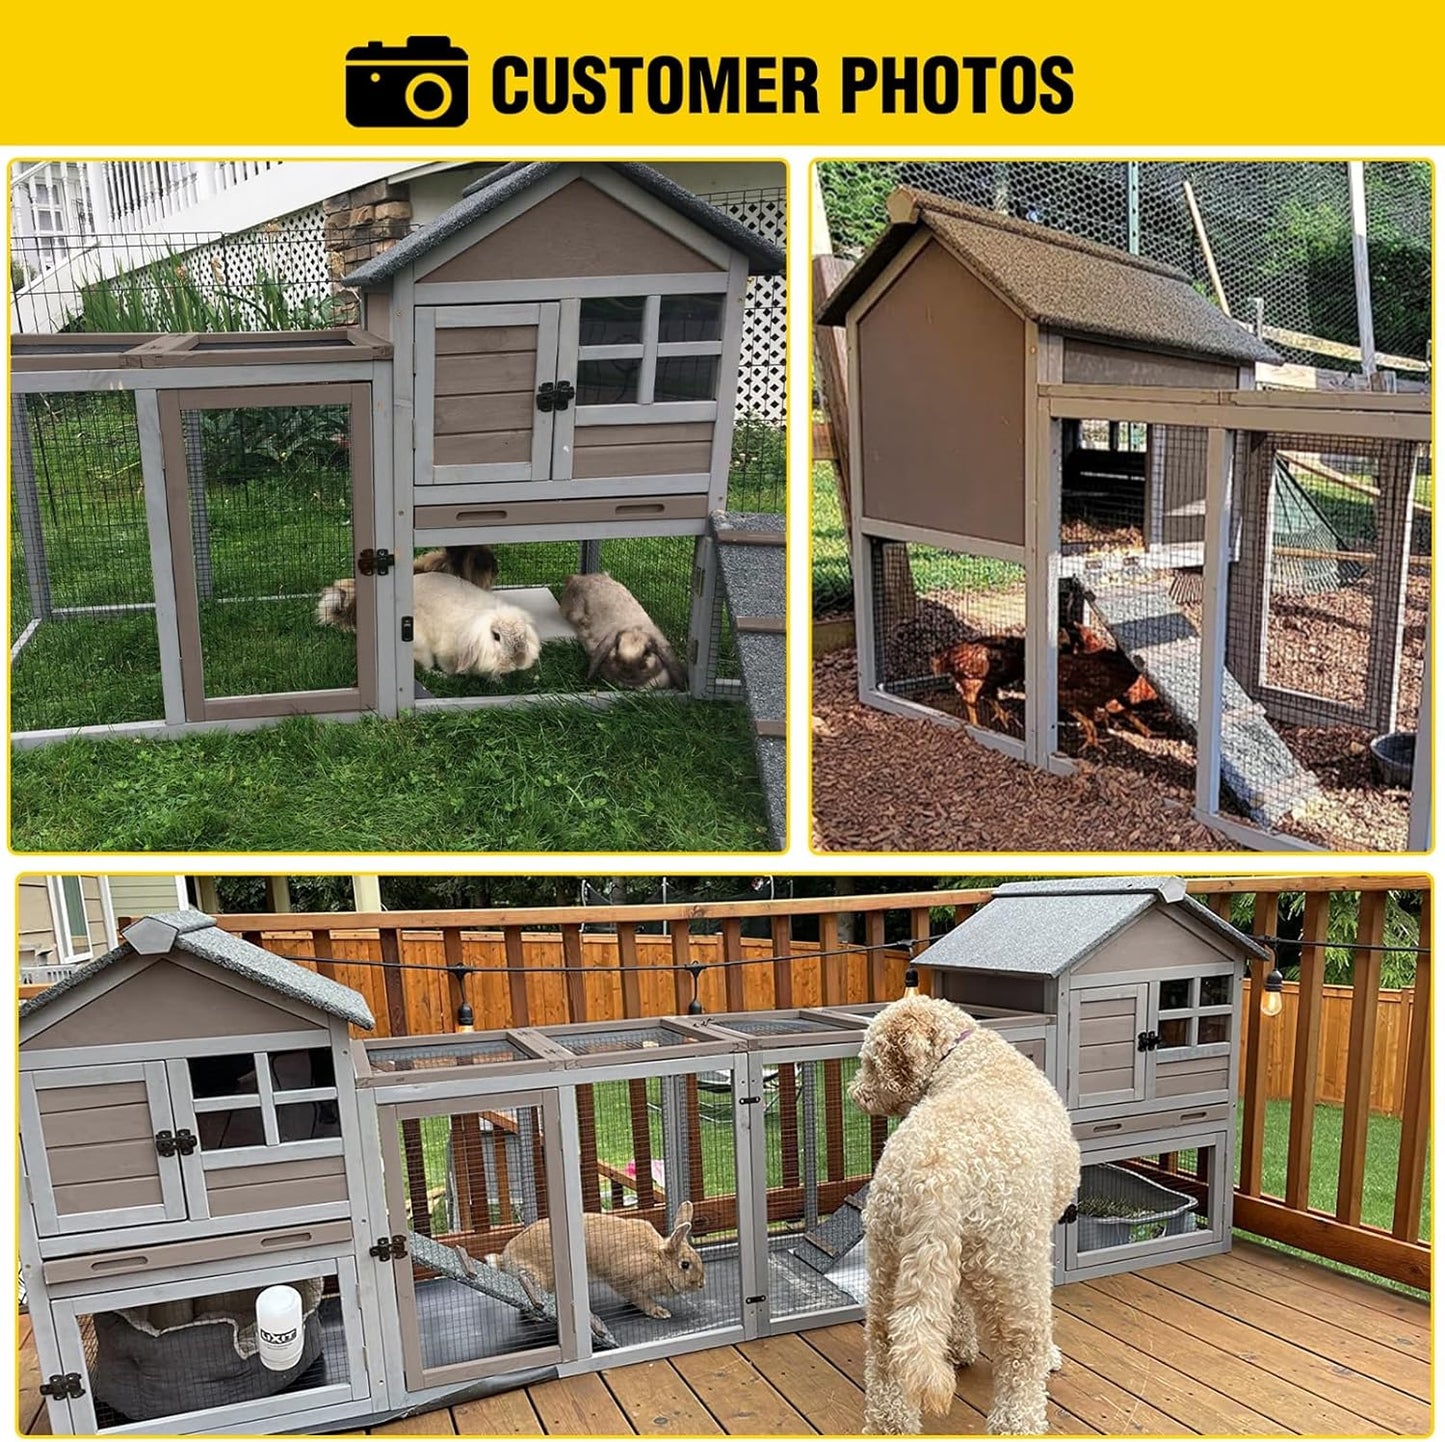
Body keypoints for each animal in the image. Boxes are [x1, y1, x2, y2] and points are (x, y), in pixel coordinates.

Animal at [489, 1200, 704, 1320]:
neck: (658, 1260)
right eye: (685, 1265)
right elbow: (639, 1297)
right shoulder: (621, 1278)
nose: (702, 1284)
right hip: (538, 1280)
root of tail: (505, 1257)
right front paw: (659, 1311)